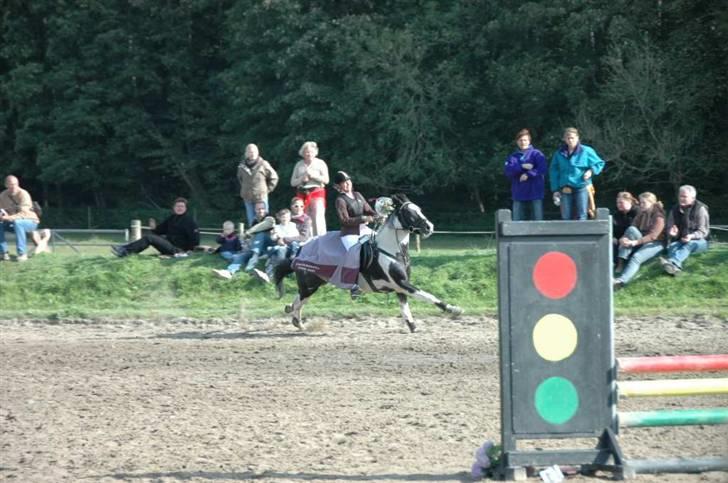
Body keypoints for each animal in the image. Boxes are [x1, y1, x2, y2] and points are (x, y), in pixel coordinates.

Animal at [272, 194, 460, 332]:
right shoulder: (402, 283)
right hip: (310, 285)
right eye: (409, 213)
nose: (429, 227)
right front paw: (454, 309)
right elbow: (428, 296)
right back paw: (297, 321)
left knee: (298, 300)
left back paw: (293, 315)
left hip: (314, 284)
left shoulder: (400, 287)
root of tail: (300, 249)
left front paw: (413, 327)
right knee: (299, 301)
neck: (392, 251)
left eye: (419, 210)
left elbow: (405, 310)